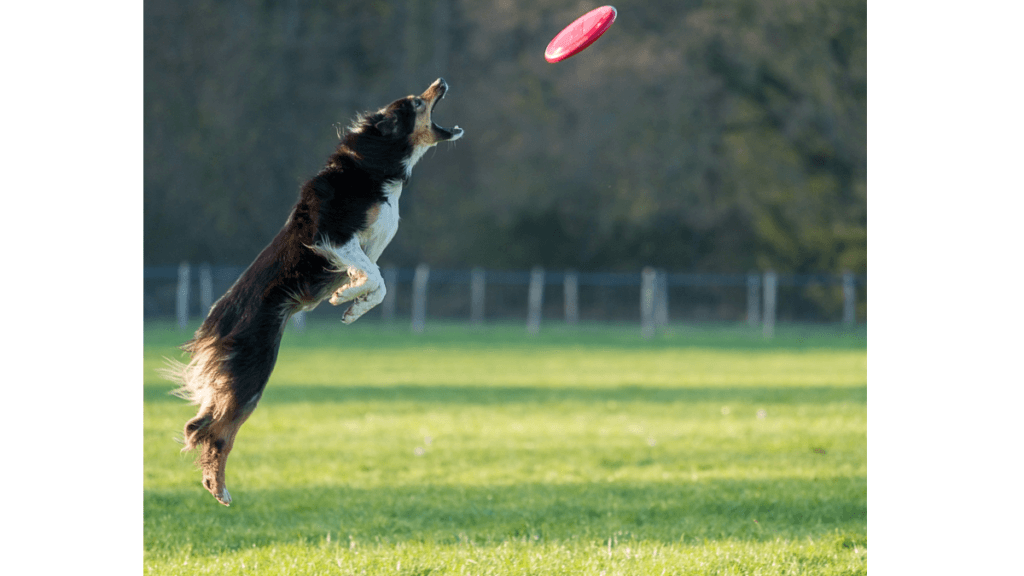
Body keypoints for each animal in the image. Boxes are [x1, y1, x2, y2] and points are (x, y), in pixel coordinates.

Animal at [164, 77, 464, 502]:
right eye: (415, 103)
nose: (440, 81)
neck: (374, 163)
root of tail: (216, 319)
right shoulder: (334, 238)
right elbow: (376, 277)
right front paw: (345, 296)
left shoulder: (357, 247)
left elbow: (380, 286)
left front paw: (353, 306)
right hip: (253, 371)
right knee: (212, 429)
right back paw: (218, 486)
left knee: (206, 425)